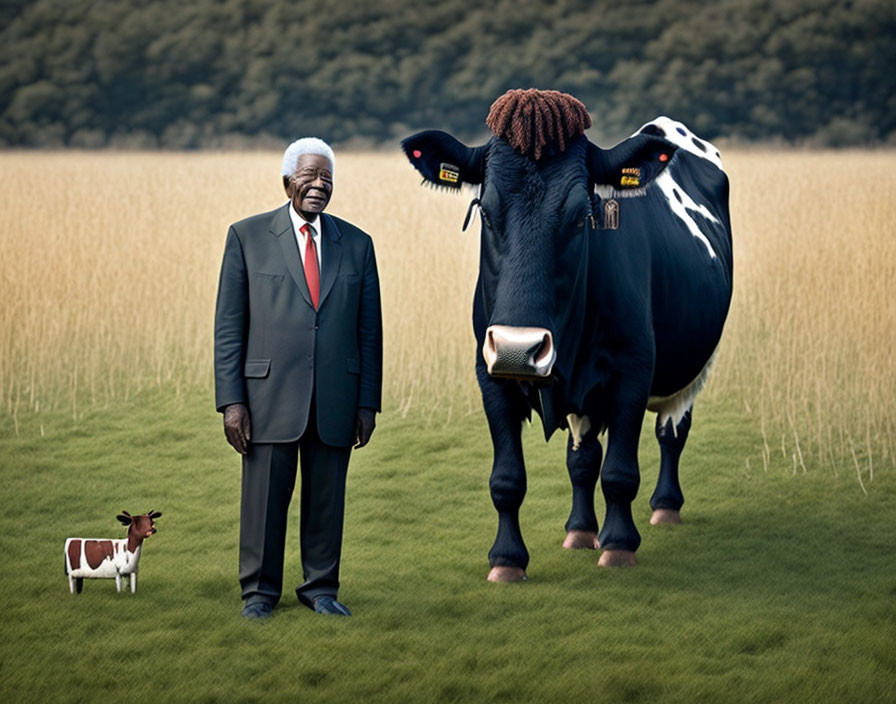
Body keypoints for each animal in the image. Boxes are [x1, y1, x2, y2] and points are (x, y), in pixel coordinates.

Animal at [402, 88, 732, 580]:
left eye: (581, 215)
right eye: (486, 211)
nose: (519, 349)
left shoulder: (633, 372)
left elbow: (620, 472)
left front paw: (619, 545)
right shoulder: (489, 372)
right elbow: (508, 479)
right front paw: (507, 559)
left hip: (697, 366)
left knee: (672, 431)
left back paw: (665, 506)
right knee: (582, 457)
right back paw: (580, 529)